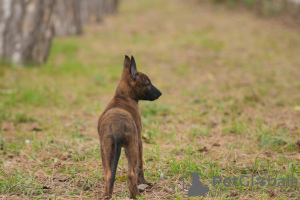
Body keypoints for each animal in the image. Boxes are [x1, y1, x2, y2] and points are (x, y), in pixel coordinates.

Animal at [98, 55, 162, 198]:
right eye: (148, 83)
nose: (160, 93)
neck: (122, 97)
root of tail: (116, 128)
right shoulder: (139, 142)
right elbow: (140, 166)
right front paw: (143, 182)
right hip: (131, 147)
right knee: (131, 174)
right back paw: (137, 195)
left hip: (106, 149)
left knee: (108, 175)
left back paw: (107, 196)